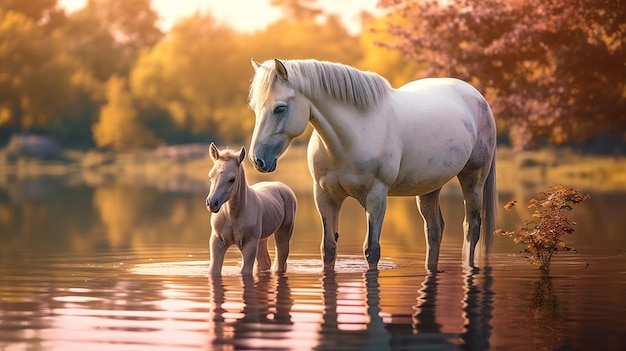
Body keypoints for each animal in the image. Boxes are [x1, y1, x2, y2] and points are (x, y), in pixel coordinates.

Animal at [246, 58, 494, 272]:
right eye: (255, 107)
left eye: (280, 108)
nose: (258, 159)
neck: (350, 136)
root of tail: (477, 97)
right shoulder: (325, 196)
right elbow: (328, 249)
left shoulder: (376, 195)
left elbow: (372, 250)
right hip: (430, 186)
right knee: (434, 230)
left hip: (473, 178)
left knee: (471, 227)